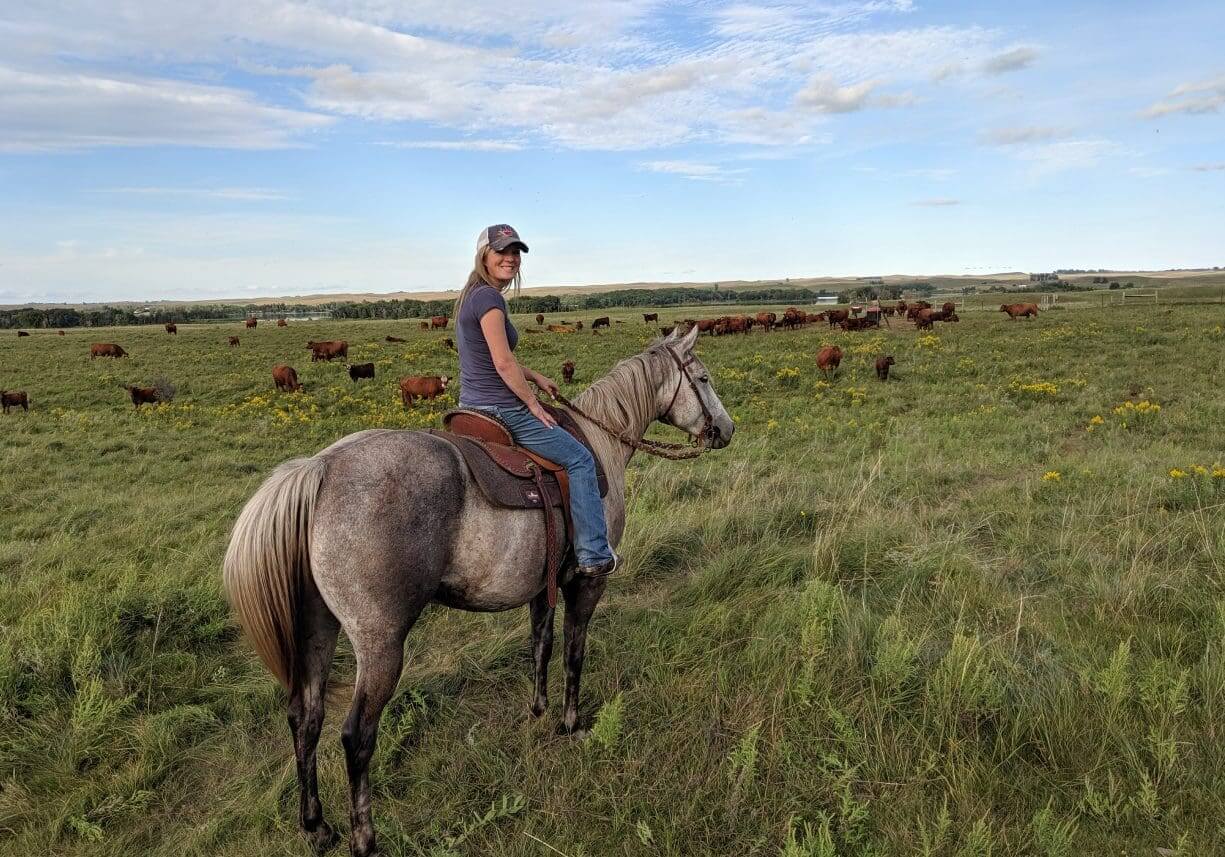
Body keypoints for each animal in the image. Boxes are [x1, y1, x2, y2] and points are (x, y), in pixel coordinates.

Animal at [222, 324, 733, 857]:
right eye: (703, 377)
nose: (726, 428)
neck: (599, 444)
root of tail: (320, 468)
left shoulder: (541, 585)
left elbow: (541, 644)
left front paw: (538, 710)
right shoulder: (588, 582)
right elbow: (573, 653)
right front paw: (570, 723)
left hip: (317, 629)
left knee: (306, 716)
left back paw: (316, 824)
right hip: (380, 643)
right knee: (355, 735)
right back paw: (365, 837)